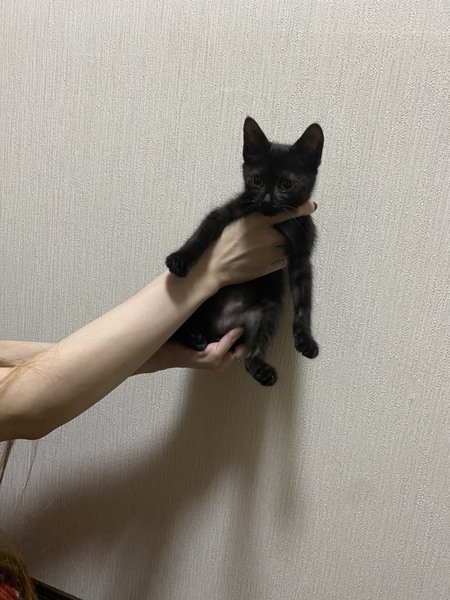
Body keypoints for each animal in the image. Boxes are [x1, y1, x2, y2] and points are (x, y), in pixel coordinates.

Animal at [166, 117, 324, 386]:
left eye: (286, 184)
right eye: (256, 180)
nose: (267, 201)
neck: (276, 221)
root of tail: (219, 328)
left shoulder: (301, 255)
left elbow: (304, 299)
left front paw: (306, 339)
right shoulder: (228, 211)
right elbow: (201, 235)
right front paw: (180, 259)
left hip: (267, 310)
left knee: (252, 352)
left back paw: (260, 368)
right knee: (174, 332)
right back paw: (191, 336)